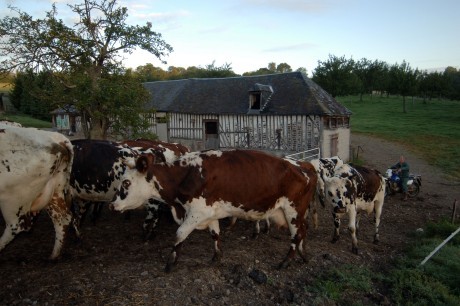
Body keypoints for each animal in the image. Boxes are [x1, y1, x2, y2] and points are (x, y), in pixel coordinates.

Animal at [0, 123, 73, 260]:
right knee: (63, 218)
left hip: (12, 200)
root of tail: (56, 139)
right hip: (54, 192)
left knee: (16, 227)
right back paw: (54, 256)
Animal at [110, 149, 318, 272]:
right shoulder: (210, 213)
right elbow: (215, 234)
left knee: (296, 236)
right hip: (296, 213)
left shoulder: (197, 212)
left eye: (126, 182)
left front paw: (170, 263)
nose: (112, 205)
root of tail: (303, 165)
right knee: (303, 231)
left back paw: (286, 262)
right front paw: (216, 257)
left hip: (293, 210)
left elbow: (179, 234)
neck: (186, 175)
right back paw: (302, 255)